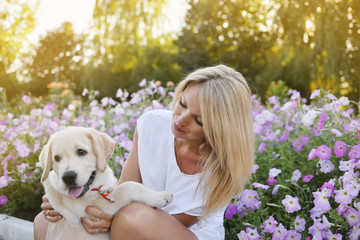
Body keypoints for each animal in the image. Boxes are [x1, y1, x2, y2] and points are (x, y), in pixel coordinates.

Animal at [40, 126, 172, 239]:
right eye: (57, 158)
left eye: (81, 152)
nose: (68, 177)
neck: (96, 187)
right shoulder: (90, 210)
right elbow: (128, 186)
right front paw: (158, 196)